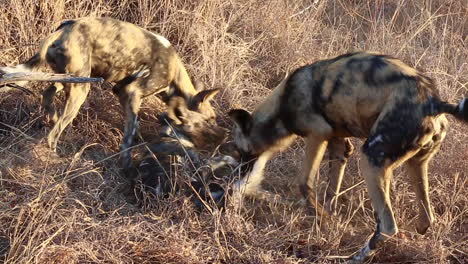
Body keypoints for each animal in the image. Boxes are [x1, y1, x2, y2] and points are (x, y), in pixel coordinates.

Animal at [0, 17, 219, 168]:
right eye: (210, 120)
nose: (219, 139)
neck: (175, 78)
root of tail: (64, 29)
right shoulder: (131, 93)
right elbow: (129, 136)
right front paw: (127, 164)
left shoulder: (121, 90)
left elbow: (133, 127)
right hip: (81, 89)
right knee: (53, 134)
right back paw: (56, 158)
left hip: (72, 78)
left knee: (48, 95)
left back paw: (52, 117)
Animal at [228, 51, 468, 262]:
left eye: (241, 151)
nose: (239, 175)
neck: (282, 104)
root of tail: (434, 102)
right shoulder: (339, 146)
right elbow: (331, 192)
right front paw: (330, 221)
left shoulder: (317, 134)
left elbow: (304, 184)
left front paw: (322, 219)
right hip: (415, 165)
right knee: (426, 218)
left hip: (371, 160)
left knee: (387, 226)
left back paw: (354, 257)